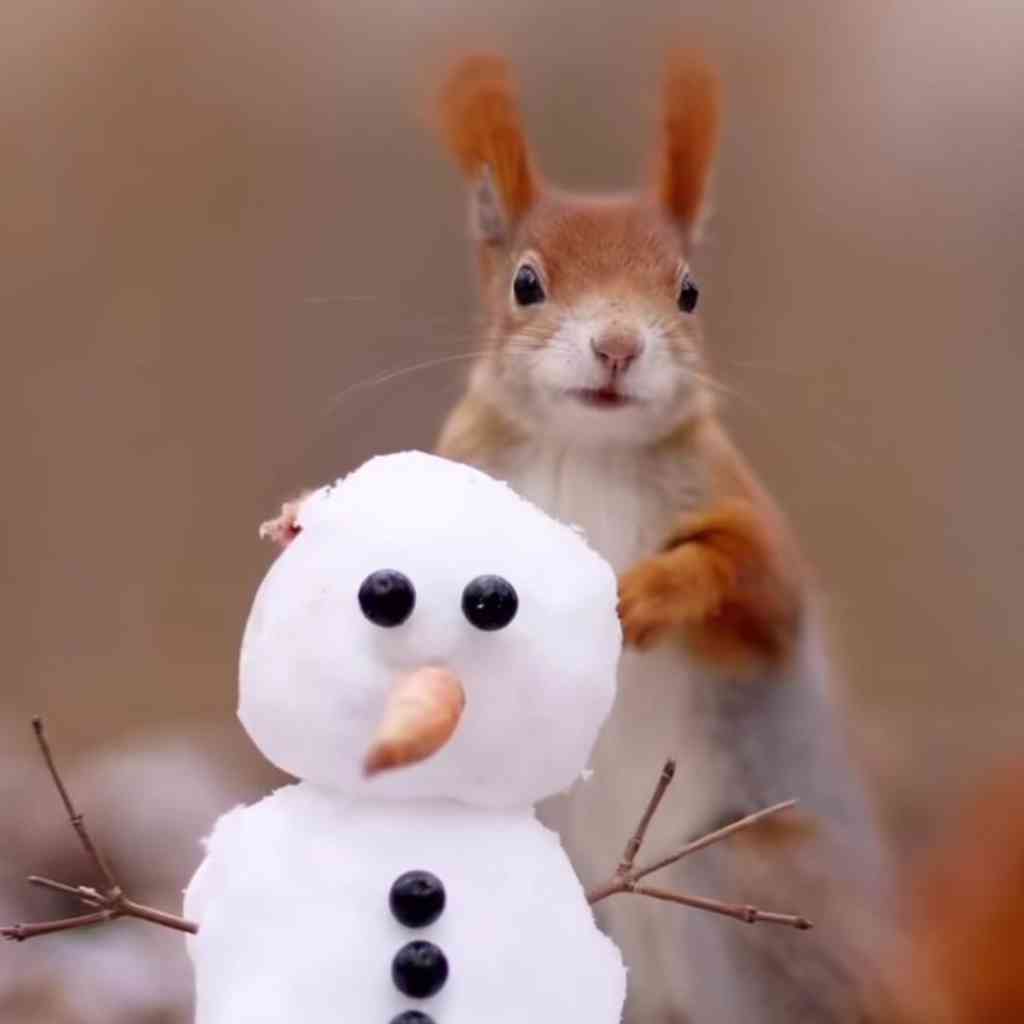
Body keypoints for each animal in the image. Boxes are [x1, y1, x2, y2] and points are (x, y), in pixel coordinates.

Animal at [428, 49, 892, 1024]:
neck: (584, 448)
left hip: (750, 892)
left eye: (688, 291)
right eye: (526, 282)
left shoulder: (736, 506)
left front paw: (649, 594)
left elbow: (755, 587)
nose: (616, 348)